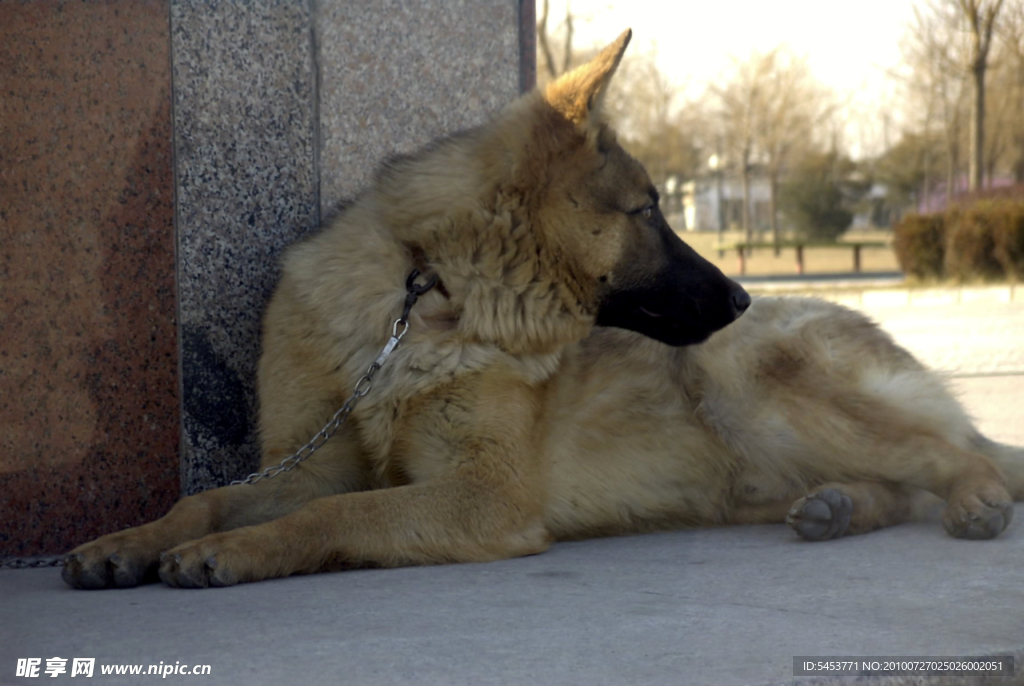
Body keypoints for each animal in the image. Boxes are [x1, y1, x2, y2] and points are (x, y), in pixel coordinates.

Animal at [61, 29, 1015, 589]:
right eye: (650, 210)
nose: (745, 294)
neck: (426, 296)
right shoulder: (306, 465)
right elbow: (210, 500)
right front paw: (132, 539)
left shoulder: (485, 492)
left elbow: (337, 515)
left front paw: (237, 552)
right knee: (901, 481)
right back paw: (838, 506)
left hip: (751, 383)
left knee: (954, 455)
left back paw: (975, 499)